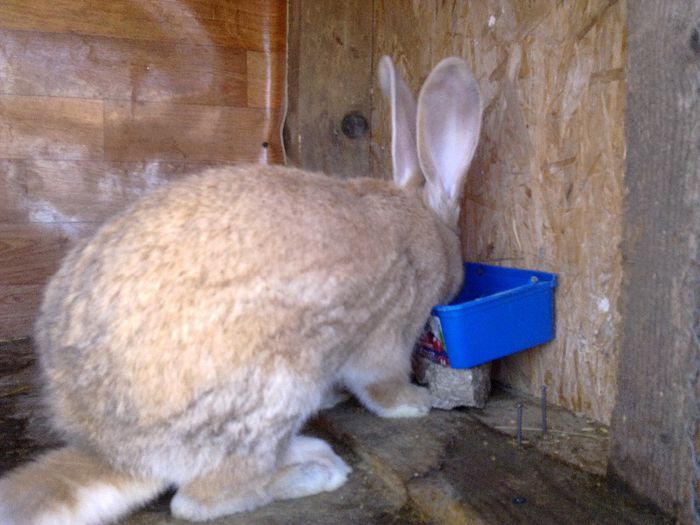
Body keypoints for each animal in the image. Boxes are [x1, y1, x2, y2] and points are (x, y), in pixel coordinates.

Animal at [0, 55, 482, 520]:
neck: (420, 222)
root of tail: (119, 455)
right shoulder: (390, 330)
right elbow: (381, 383)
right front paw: (416, 402)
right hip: (276, 391)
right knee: (199, 500)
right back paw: (316, 472)